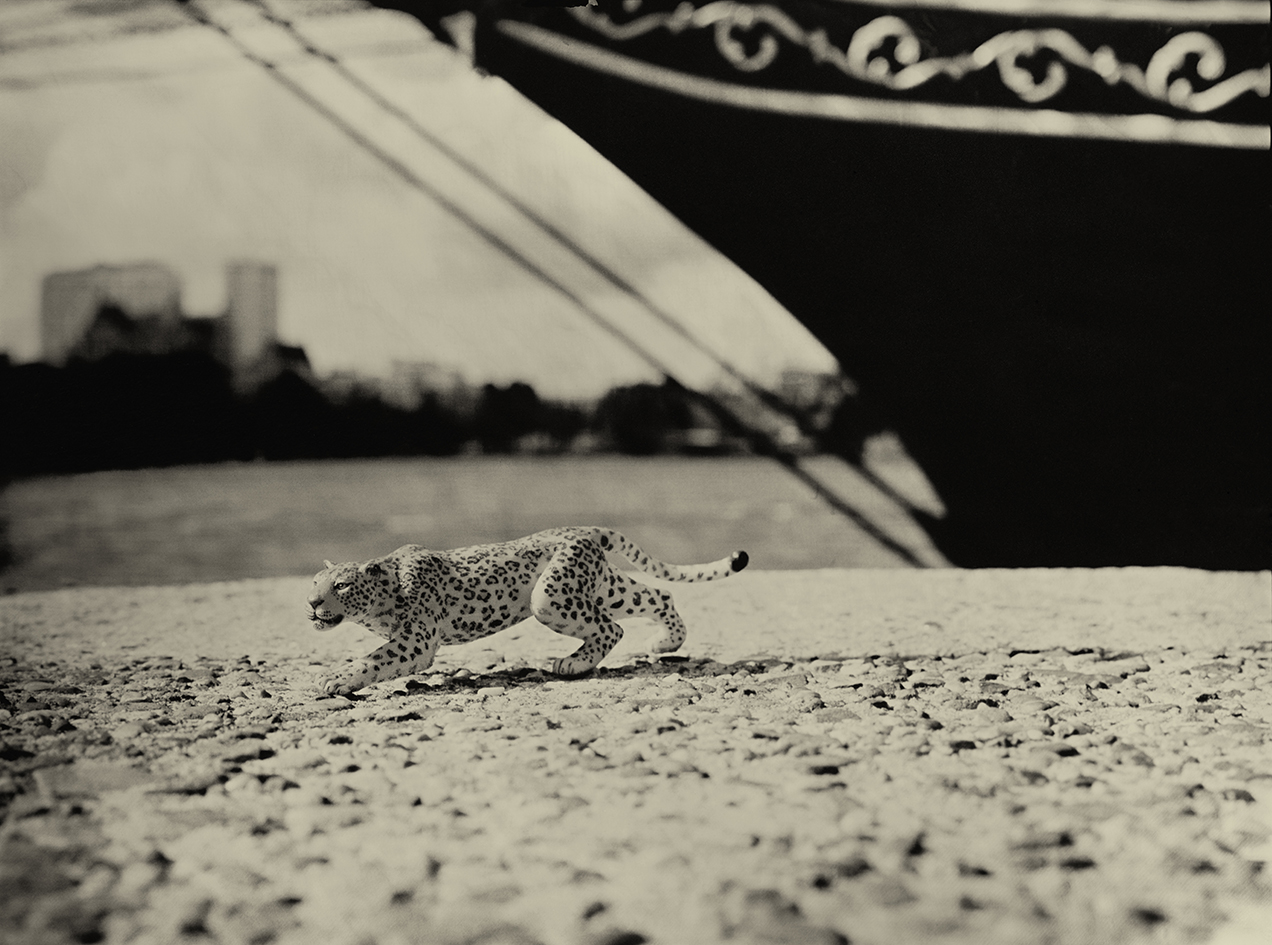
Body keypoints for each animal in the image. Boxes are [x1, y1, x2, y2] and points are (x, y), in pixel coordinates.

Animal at [307, 526, 749, 695]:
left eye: (341, 585)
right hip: (604, 589)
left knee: (611, 629)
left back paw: (573, 664)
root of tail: (587, 530)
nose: (311, 605)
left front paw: (335, 680)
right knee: (659, 595)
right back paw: (665, 643)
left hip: (551, 598)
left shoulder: (416, 640)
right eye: (313, 583)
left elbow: (374, 659)